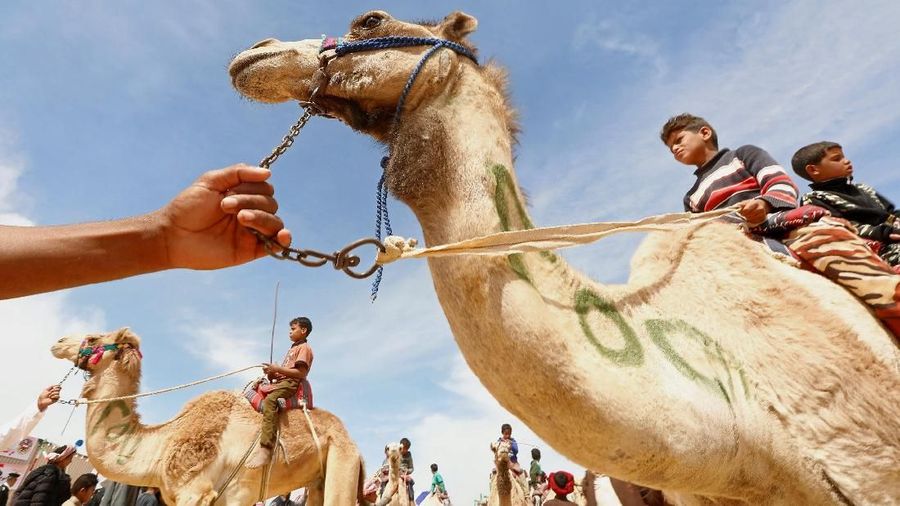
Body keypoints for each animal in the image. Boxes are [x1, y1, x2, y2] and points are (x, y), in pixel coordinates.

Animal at [50, 328, 368, 506]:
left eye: (93, 337)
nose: (58, 341)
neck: (162, 446)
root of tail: (355, 446)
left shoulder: (195, 492)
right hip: (320, 478)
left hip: (343, 463)